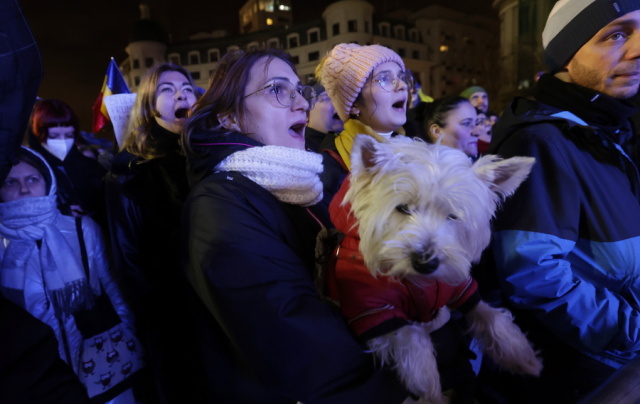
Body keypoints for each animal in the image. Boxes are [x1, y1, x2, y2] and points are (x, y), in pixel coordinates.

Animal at [328, 137, 544, 404]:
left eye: (453, 215)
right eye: (402, 208)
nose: (425, 263)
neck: (419, 282)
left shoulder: (461, 287)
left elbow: (491, 317)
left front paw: (525, 358)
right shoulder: (374, 310)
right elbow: (416, 350)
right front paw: (433, 396)